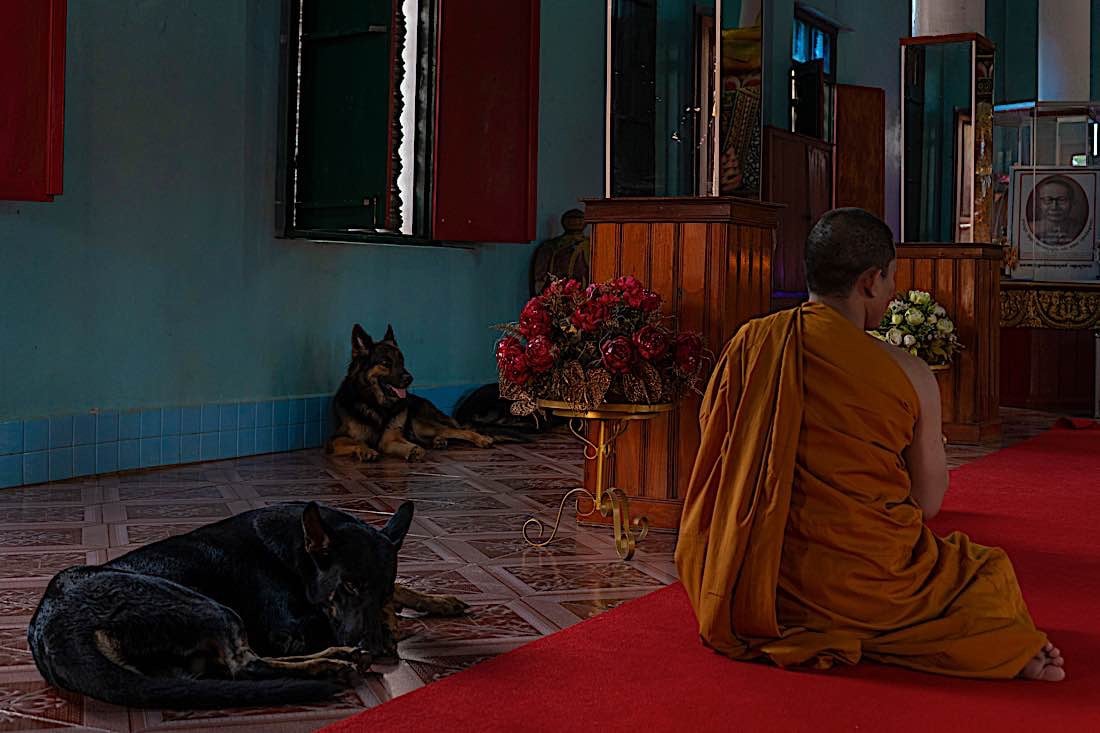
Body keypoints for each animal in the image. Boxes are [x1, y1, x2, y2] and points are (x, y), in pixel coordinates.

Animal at [25, 499, 464, 704]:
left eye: (381, 590)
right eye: (350, 587)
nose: (376, 647)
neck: (299, 552)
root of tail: (52, 629)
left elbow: (402, 589)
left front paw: (434, 600)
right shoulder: (293, 630)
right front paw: (390, 628)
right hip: (206, 606)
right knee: (245, 665)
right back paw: (332, 661)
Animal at [325, 323, 495, 460]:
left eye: (402, 361)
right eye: (385, 363)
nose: (410, 379)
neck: (377, 404)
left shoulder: (390, 438)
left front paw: (413, 450)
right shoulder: (334, 440)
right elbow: (358, 442)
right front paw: (366, 450)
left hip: (423, 424)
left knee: (458, 431)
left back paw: (481, 439)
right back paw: (438, 441)